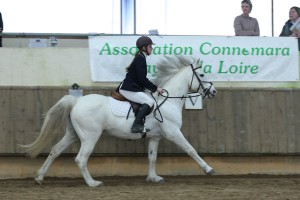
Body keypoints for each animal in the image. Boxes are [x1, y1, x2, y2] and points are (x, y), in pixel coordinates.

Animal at [19, 55, 217, 188]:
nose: (213, 92)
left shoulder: (155, 137)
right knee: (81, 159)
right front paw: (209, 169)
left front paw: (153, 178)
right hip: (90, 136)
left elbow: (152, 157)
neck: (168, 101)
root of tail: (76, 101)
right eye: (202, 74)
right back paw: (93, 183)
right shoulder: (174, 133)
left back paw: (39, 177)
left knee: (55, 151)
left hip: (73, 134)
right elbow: (191, 150)